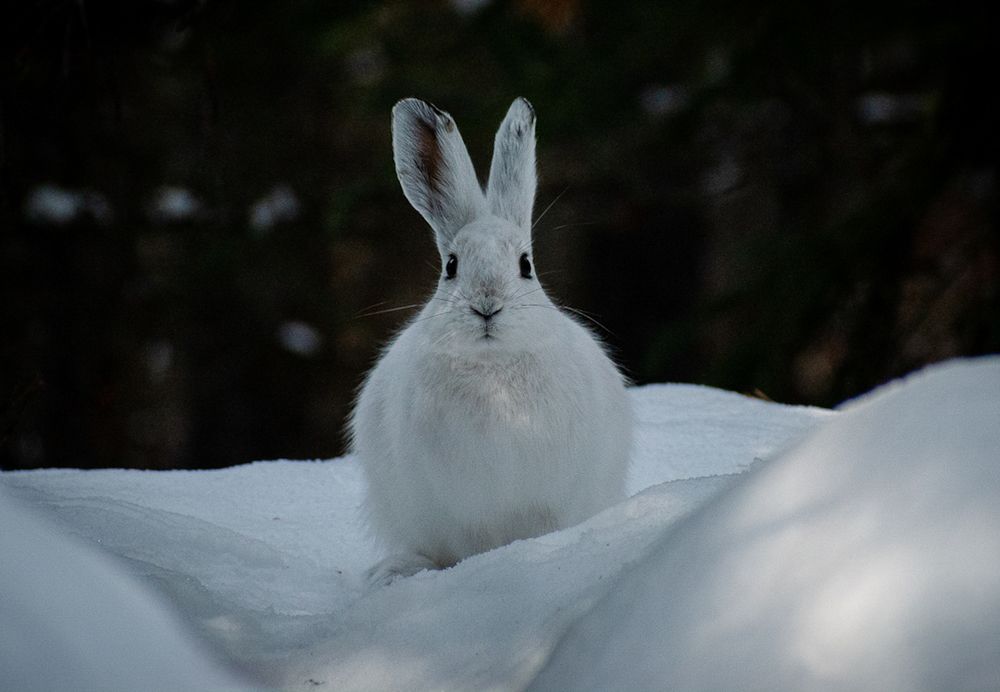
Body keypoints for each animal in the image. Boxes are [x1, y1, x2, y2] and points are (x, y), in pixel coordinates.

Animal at [351, 97, 632, 586]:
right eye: (451, 266)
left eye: (525, 265)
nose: (487, 305)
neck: (494, 370)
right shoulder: (460, 507)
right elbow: (471, 543)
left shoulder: (548, 498)